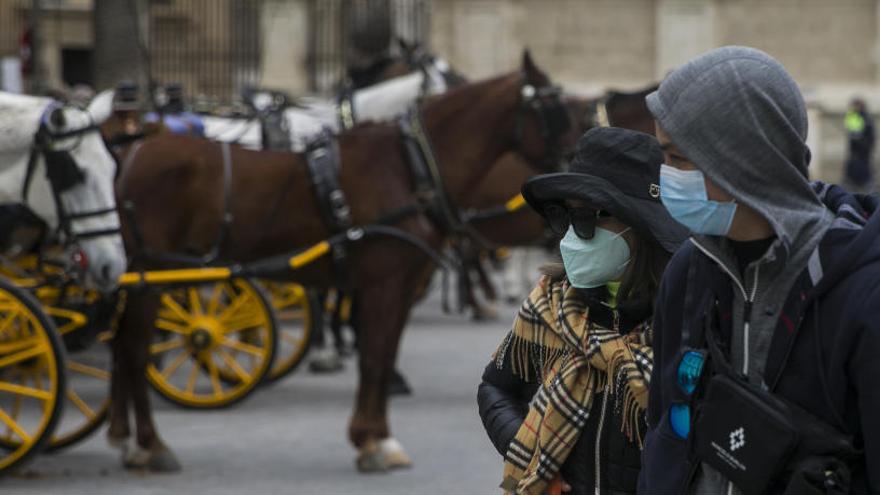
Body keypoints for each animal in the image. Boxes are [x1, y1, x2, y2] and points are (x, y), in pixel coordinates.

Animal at [108, 52, 572, 474]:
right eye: (556, 110)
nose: (569, 179)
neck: (407, 165)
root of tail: (135, 150)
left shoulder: (399, 286)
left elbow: (383, 355)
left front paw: (377, 436)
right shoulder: (383, 284)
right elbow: (374, 357)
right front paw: (371, 440)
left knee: (122, 343)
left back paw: (125, 439)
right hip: (152, 275)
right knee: (133, 345)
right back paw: (150, 443)